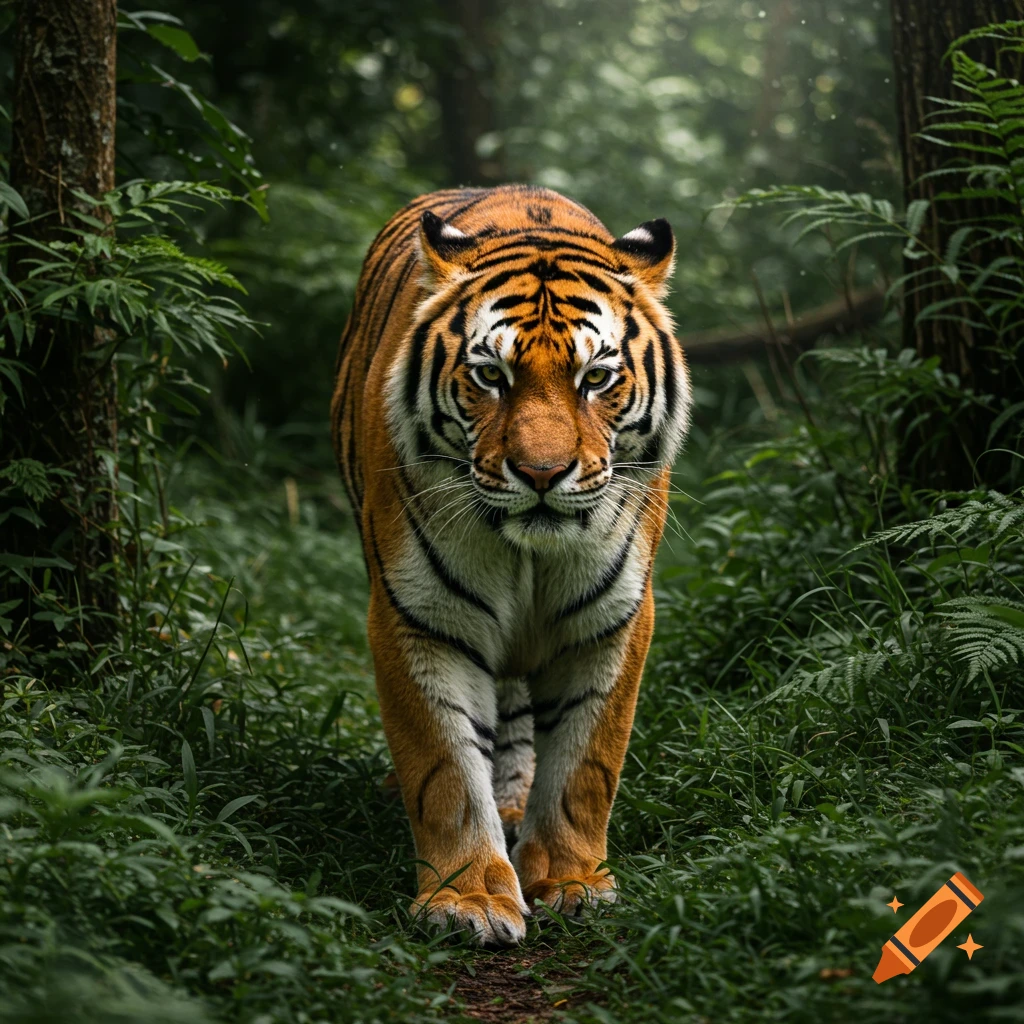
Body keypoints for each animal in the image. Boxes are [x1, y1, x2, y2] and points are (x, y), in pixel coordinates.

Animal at [331, 184, 691, 946]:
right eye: (490, 376)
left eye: (596, 378)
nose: (543, 473)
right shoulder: (419, 617)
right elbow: (444, 769)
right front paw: (466, 898)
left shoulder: (610, 621)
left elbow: (586, 765)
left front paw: (573, 883)